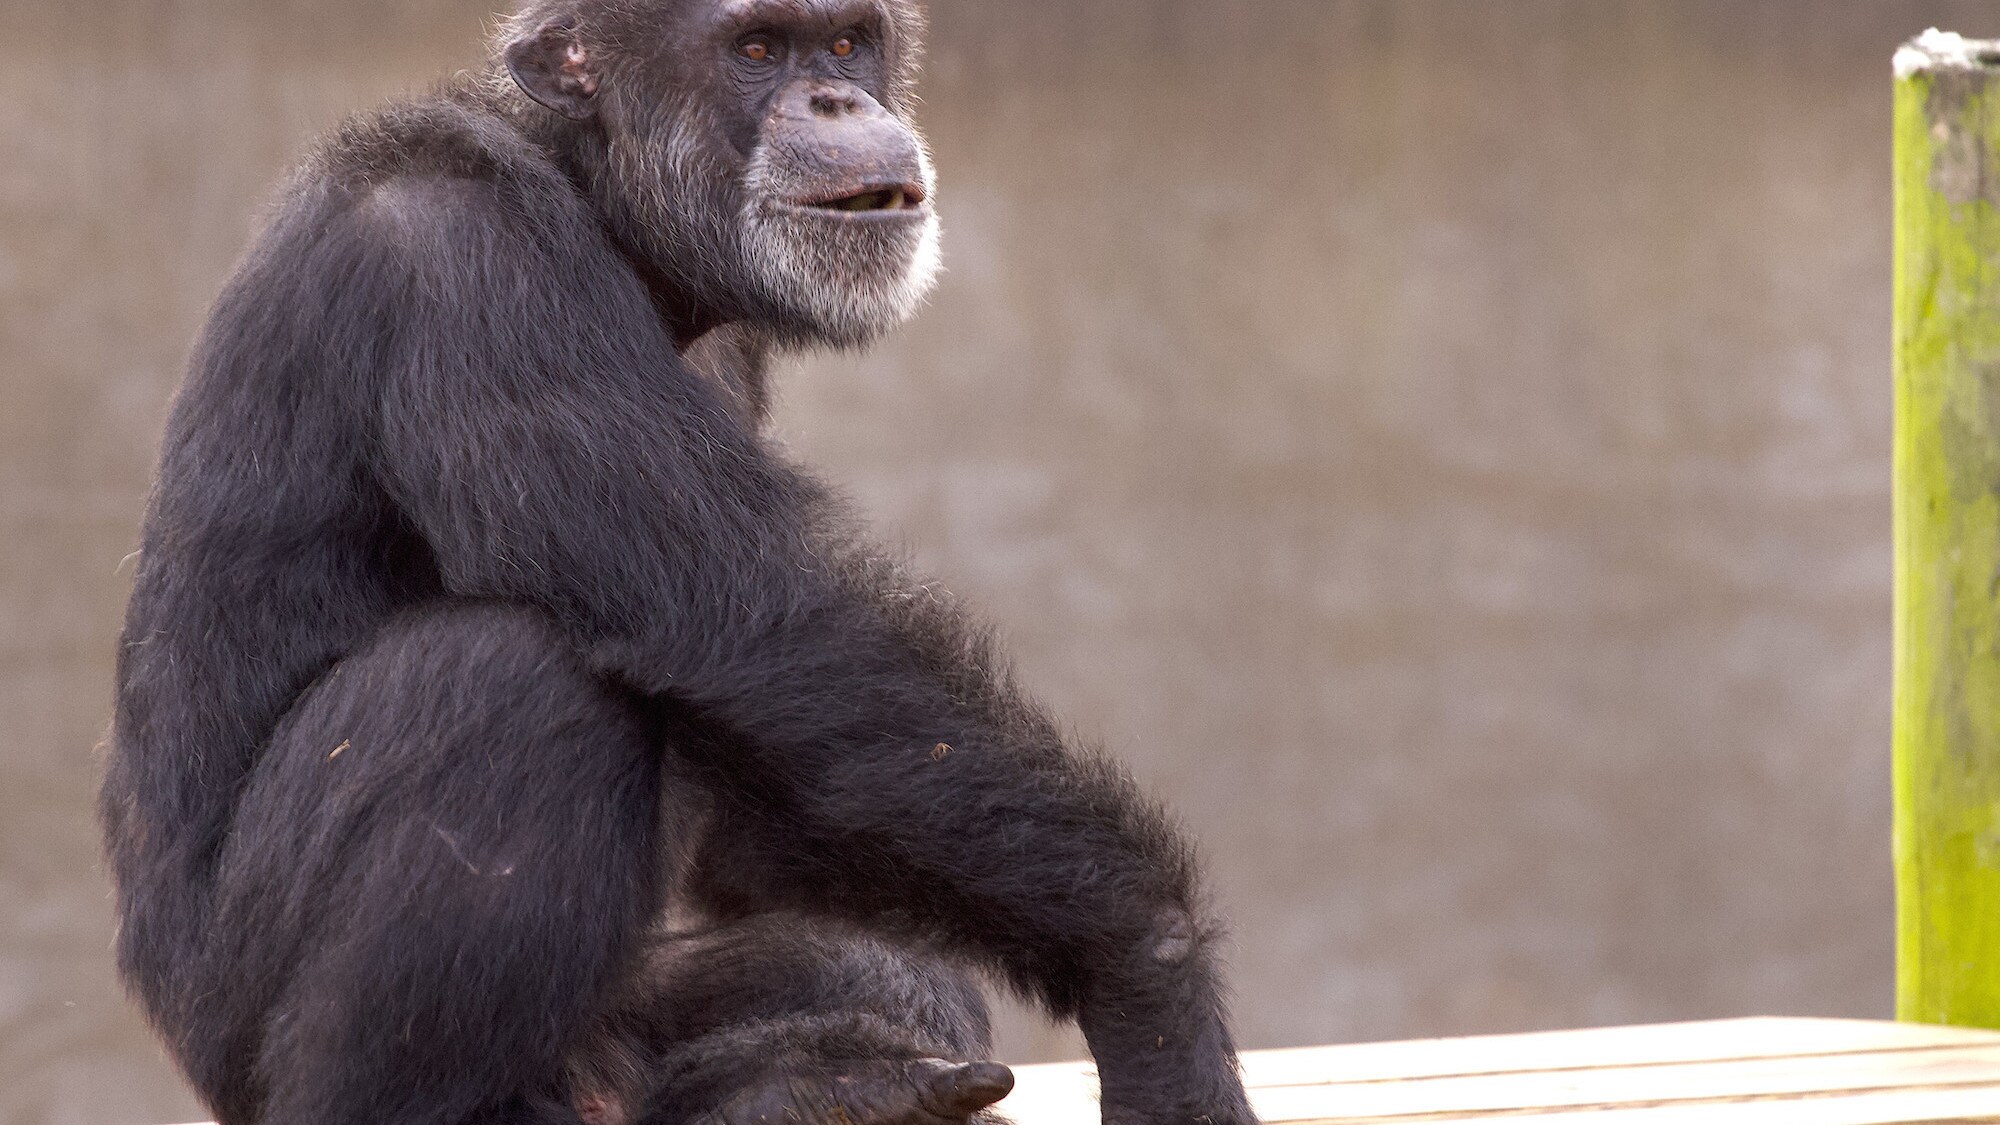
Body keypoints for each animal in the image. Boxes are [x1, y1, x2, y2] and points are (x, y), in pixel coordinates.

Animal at [97, 2, 1248, 1120]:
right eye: (756, 48)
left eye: (844, 41)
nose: (834, 98)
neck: (596, 195)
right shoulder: (460, 257)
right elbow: (747, 616)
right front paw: (1151, 982)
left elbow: (771, 738)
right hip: (244, 1025)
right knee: (509, 680)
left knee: (858, 971)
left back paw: (794, 1088)